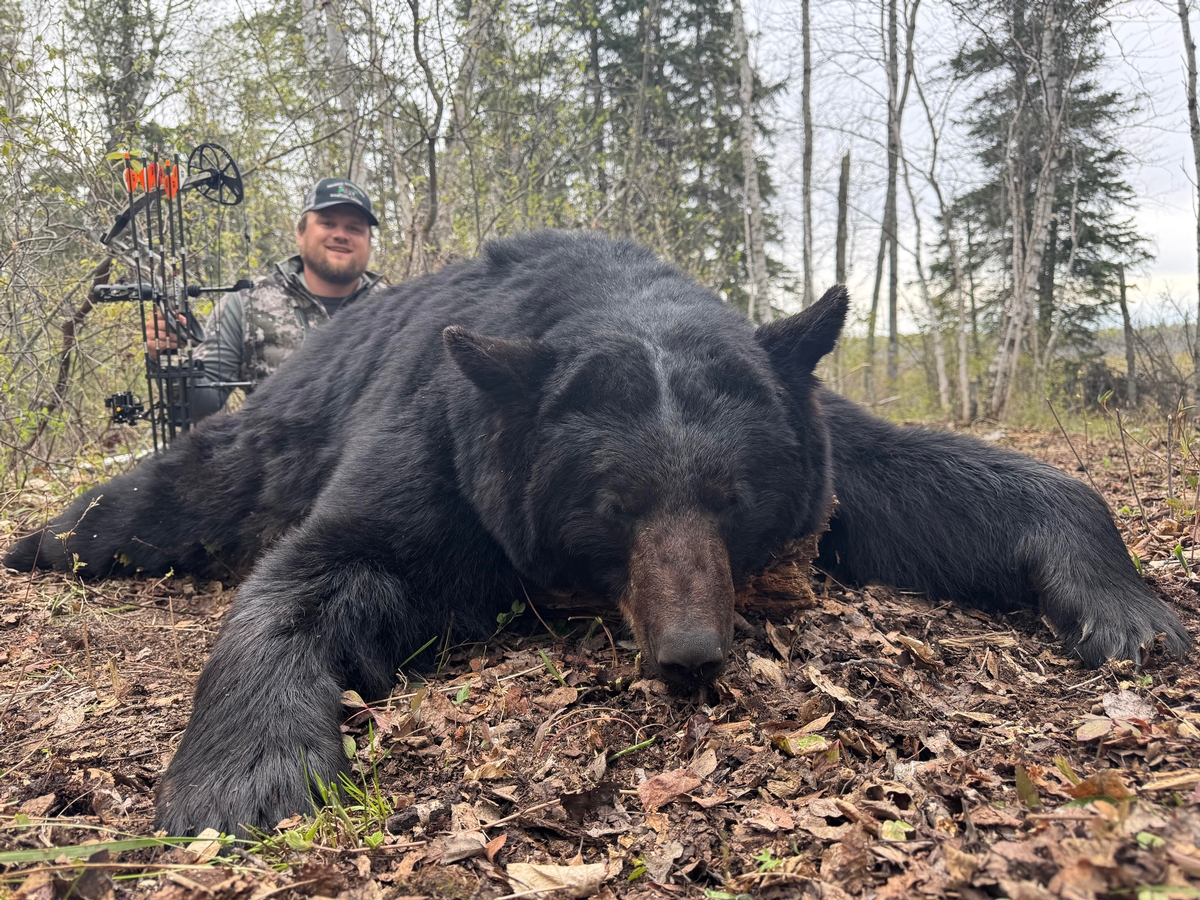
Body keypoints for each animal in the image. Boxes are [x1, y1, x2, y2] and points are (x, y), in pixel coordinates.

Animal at [4, 230, 1190, 838]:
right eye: (612, 505)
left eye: (733, 497)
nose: (691, 653)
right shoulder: (451, 442)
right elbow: (327, 568)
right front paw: (249, 777)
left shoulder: (813, 432)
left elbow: (954, 486)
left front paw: (1130, 613)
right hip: (253, 438)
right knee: (154, 499)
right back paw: (41, 540)